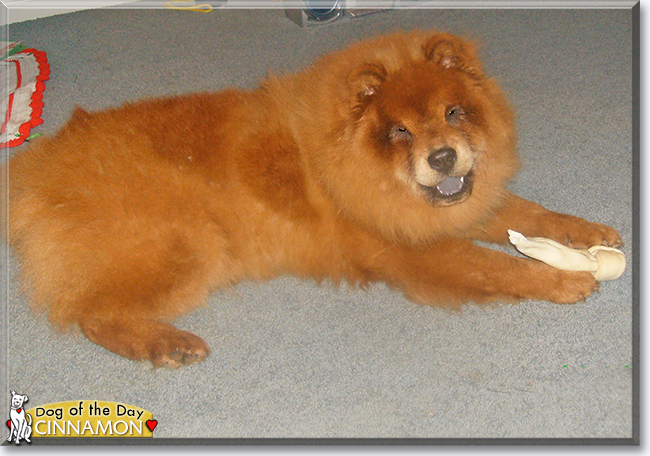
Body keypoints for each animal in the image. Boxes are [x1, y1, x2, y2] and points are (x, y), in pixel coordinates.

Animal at [6, 31, 624, 366]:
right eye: (399, 132)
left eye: (453, 113)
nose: (444, 157)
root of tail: (39, 167)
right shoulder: (414, 249)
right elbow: (498, 266)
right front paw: (567, 279)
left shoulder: (453, 212)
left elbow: (529, 214)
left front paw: (591, 235)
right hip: (186, 245)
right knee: (92, 313)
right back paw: (170, 344)